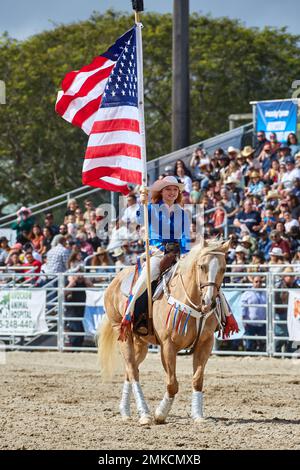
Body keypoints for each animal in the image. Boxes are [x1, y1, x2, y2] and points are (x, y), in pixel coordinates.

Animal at [98, 239, 230, 426]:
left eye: (223, 268)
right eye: (202, 266)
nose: (209, 302)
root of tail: (115, 280)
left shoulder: (206, 343)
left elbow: (197, 380)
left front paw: (198, 415)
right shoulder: (168, 346)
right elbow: (172, 384)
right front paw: (160, 413)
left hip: (141, 343)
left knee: (130, 370)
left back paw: (125, 411)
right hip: (123, 334)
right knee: (132, 370)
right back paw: (144, 414)